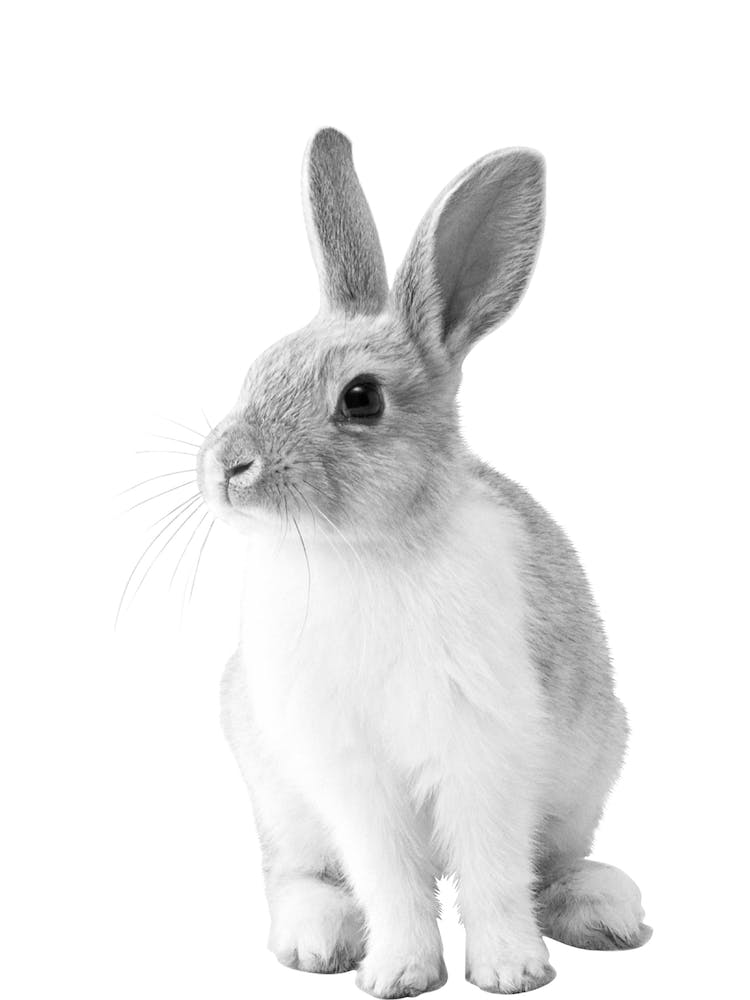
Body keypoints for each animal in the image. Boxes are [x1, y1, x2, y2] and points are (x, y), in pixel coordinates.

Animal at [197, 128, 650, 997]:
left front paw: (510, 971)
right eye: (257, 369)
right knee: (297, 874)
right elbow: (389, 877)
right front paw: (400, 974)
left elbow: (494, 871)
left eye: (362, 398)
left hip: (588, 773)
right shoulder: (351, 774)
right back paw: (317, 940)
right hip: (279, 797)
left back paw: (607, 912)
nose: (228, 466)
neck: (365, 549)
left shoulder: (486, 751)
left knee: (551, 865)